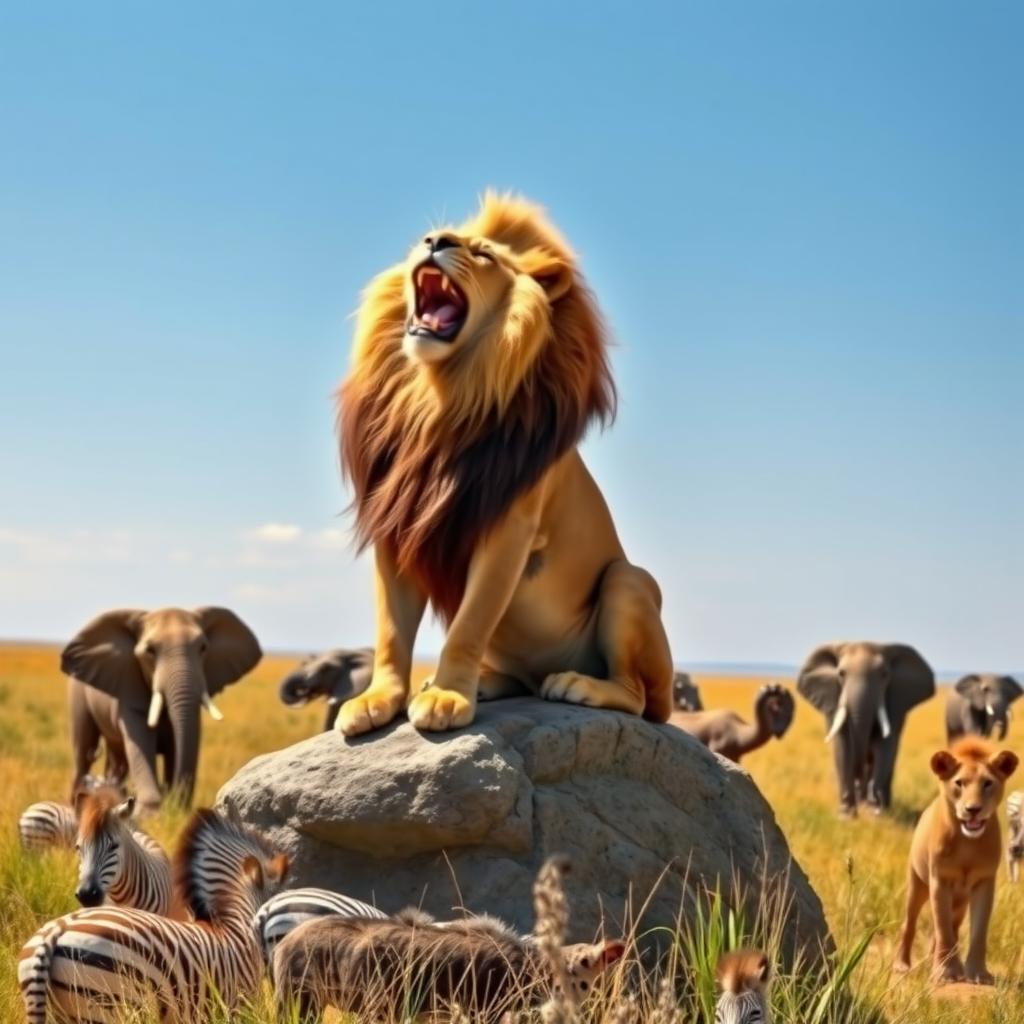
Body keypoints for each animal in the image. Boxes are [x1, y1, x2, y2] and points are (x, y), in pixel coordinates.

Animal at [334, 193, 673, 735]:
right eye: (429, 237)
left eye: (484, 254)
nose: (434, 241)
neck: (438, 395)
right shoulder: (396, 520)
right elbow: (391, 630)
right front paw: (377, 698)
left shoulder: (509, 528)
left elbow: (469, 623)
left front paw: (449, 696)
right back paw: (487, 684)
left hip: (629, 583)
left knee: (640, 697)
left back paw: (578, 685)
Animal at [894, 738, 1018, 985]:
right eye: (959, 783)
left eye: (987, 783)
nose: (973, 809)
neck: (967, 843)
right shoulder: (940, 880)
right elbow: (943, 929)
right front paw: (945, 972)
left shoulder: (984, 883)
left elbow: (978, 931)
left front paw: (977, 973)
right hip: (917, 884)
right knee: (909, 923)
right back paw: (902, 965)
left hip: (961, 901)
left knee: (953, 927)